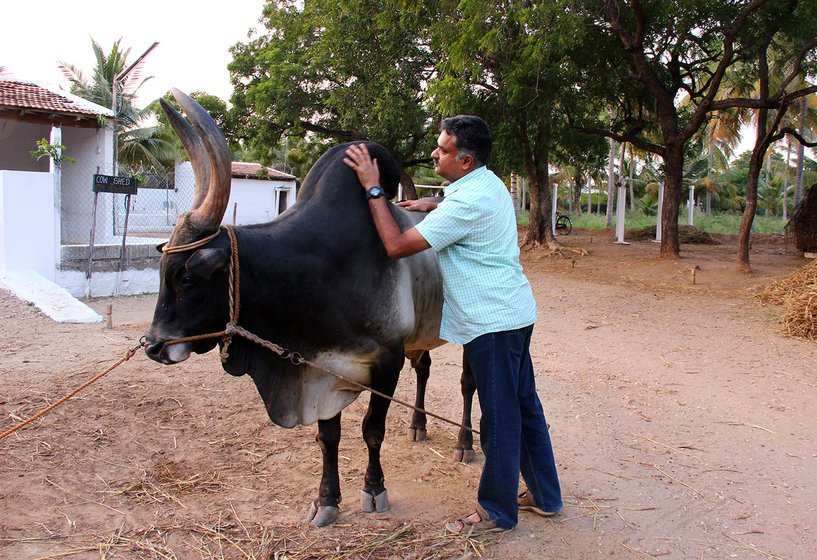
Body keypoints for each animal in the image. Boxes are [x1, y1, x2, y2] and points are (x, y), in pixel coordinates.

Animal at [144, 89, 474, 528]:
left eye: (186, 278)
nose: (154, 346)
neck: (316, 270)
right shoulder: (322, 367)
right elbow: (327, 437)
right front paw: (327, 500)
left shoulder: (386, 361)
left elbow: (372, 429)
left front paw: (374, 490)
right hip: (420, 335)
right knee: (424, 368)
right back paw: (418, 424)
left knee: (469, 383)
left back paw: (466, 443)